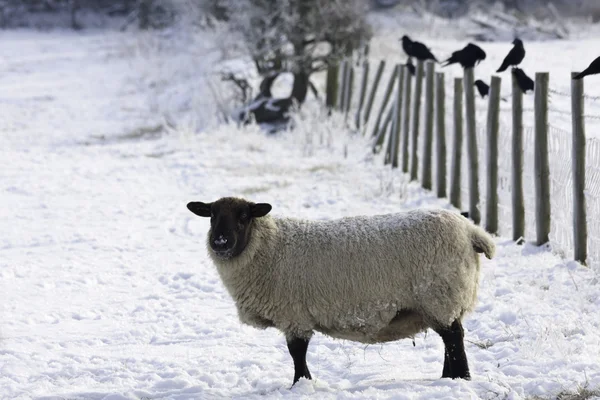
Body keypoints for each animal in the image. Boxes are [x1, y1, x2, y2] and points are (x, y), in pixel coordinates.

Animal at [186, 196, 492, 384]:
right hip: (441, 301)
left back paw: (460, 378)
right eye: (211, 216)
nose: (220, 242)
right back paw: (447, 378)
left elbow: (297, 352)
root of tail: (471, 231)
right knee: (450, 338)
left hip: (440, 295)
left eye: (244, 216)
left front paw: (300, 384)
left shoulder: (293, 314)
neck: (270, 247)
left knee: (454, 337)